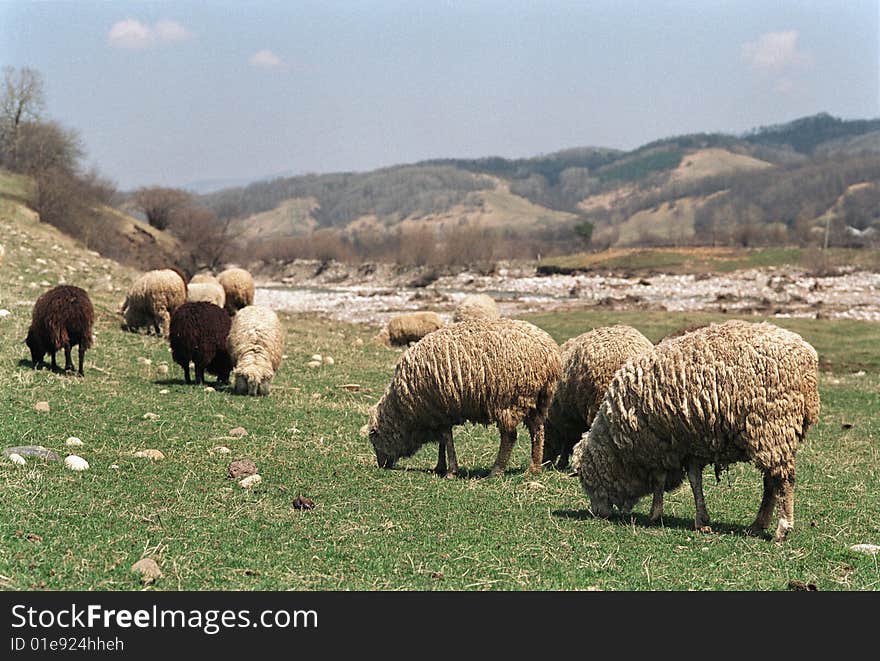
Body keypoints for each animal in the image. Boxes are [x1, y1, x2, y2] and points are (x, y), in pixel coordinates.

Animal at [366, 318, 560, 476]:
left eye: (374, 439)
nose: (382, 465)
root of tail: (551, 354)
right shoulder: (441, 414)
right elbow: (443, 441)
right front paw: (440, 467)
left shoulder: (439, 411)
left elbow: (446, 440)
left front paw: (451, 471)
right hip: (538, 400)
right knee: (538, 431)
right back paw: (534, 468)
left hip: (508, 400)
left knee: (509, 436)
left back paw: (496, 471)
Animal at [572, 320, 820, 540]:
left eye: (586, 480)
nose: (598, 514)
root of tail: (806, 356)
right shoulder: (689, 444)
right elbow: (694, 480)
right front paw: (701, 520)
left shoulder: (660, 445)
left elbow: (659, 480)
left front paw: (654, 513)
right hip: (774, 434)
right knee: (770, 482)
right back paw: (758, 525)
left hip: (773, 426)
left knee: (783, 480)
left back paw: (782, 528)